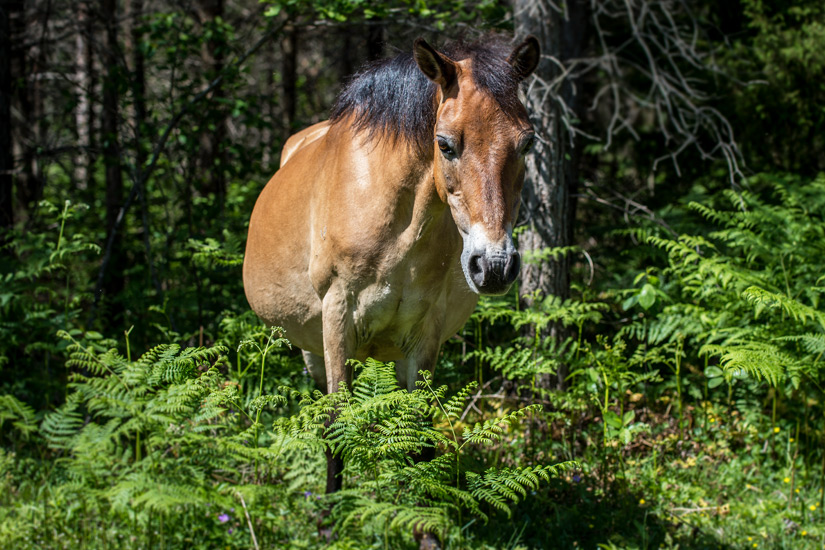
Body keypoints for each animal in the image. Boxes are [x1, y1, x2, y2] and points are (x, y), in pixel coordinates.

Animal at [245, 35, 540, 496]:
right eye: (445, 144)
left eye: (526, 143)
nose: (493, 265)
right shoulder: (337, 317)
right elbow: (336, 426)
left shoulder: (426, 332)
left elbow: (419, 434)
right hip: (312, 347)